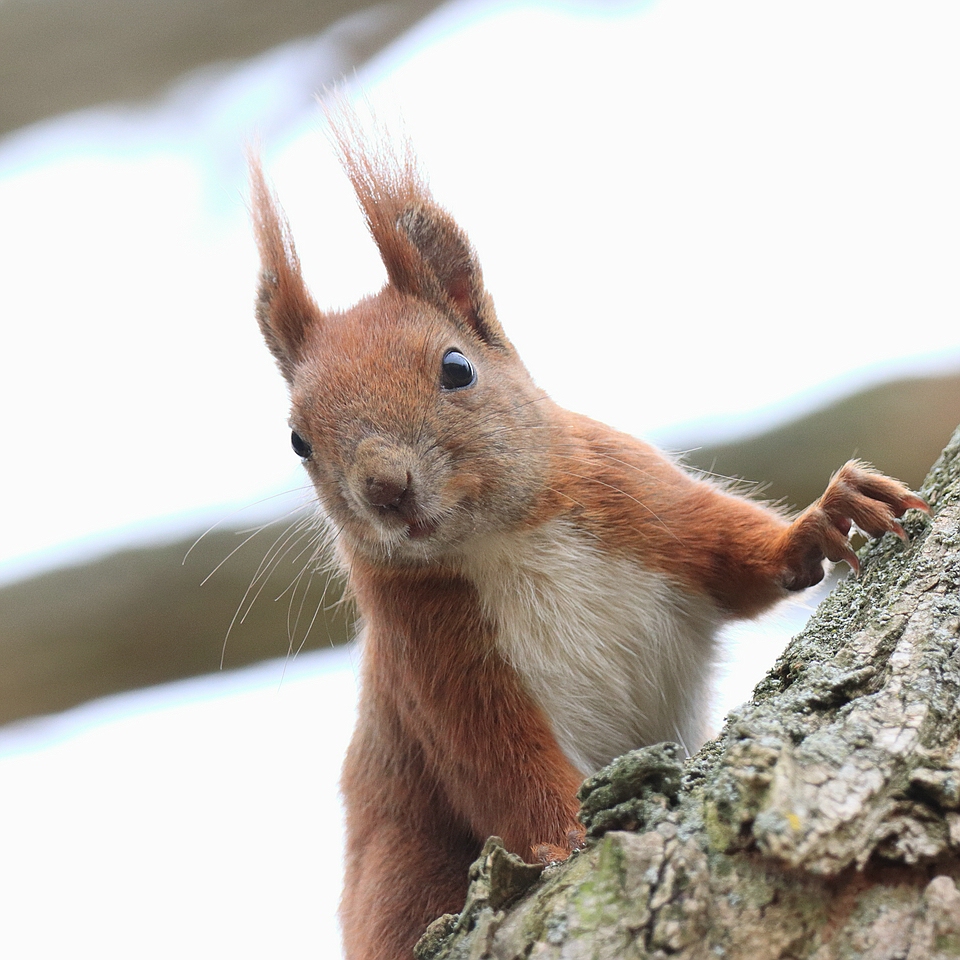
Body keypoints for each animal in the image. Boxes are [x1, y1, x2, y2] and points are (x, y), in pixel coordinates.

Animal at [248, 120, 928, 960]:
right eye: (298, 441)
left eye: (456, 367)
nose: (385, 487)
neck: (500, 540)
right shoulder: (433, 657)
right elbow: (505, 769)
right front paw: (569, 840)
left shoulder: (638, 496)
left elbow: (737, 561)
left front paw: (826, 517)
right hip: (400, 865)